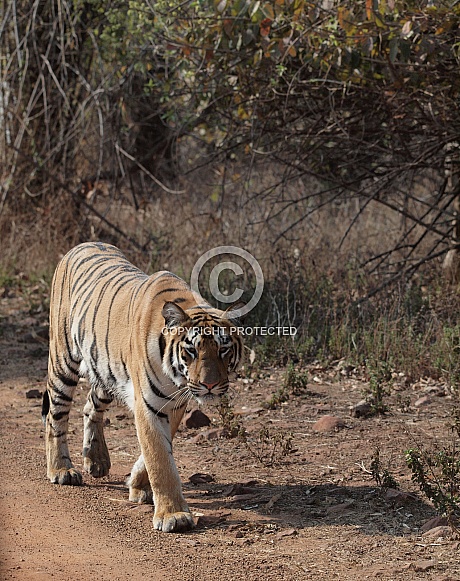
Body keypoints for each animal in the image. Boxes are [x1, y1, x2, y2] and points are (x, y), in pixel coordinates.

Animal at [42, 240, 244, 532]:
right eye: (191, 351)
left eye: (223, 350)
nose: (210, 385)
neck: (176, 379)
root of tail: (83, 244)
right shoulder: (149, 404)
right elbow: (159, 458)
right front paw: (173, 515)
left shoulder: (174, 404)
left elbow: (155, 450)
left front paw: (139, 486)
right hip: (63, 360)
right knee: (54, 415)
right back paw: (61, 470)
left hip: (105, 370)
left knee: (90, 406)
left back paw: (97, 459)